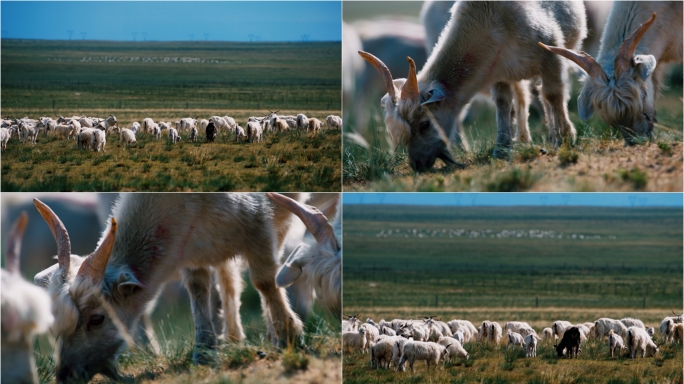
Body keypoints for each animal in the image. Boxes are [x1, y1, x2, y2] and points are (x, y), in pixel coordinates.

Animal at [31, 196, 304, 382]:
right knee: (227, 278)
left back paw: (272, 334)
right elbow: (198, 289)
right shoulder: (194, 248)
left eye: (97, 319)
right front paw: (204, 351)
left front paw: (290, 336)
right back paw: (234, 336)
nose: (65, 376)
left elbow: (265, 281)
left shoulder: (258, 222)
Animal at [364, 1, 588, 170]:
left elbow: (553, 96)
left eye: (425, 124)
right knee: (522, 98)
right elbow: (503, 104)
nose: (417, 165)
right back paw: (523, 138)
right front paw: (502, 148)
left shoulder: (550, 54)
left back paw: (551, 135)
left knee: (545, 96)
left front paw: (565, 137)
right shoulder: (500, 72)